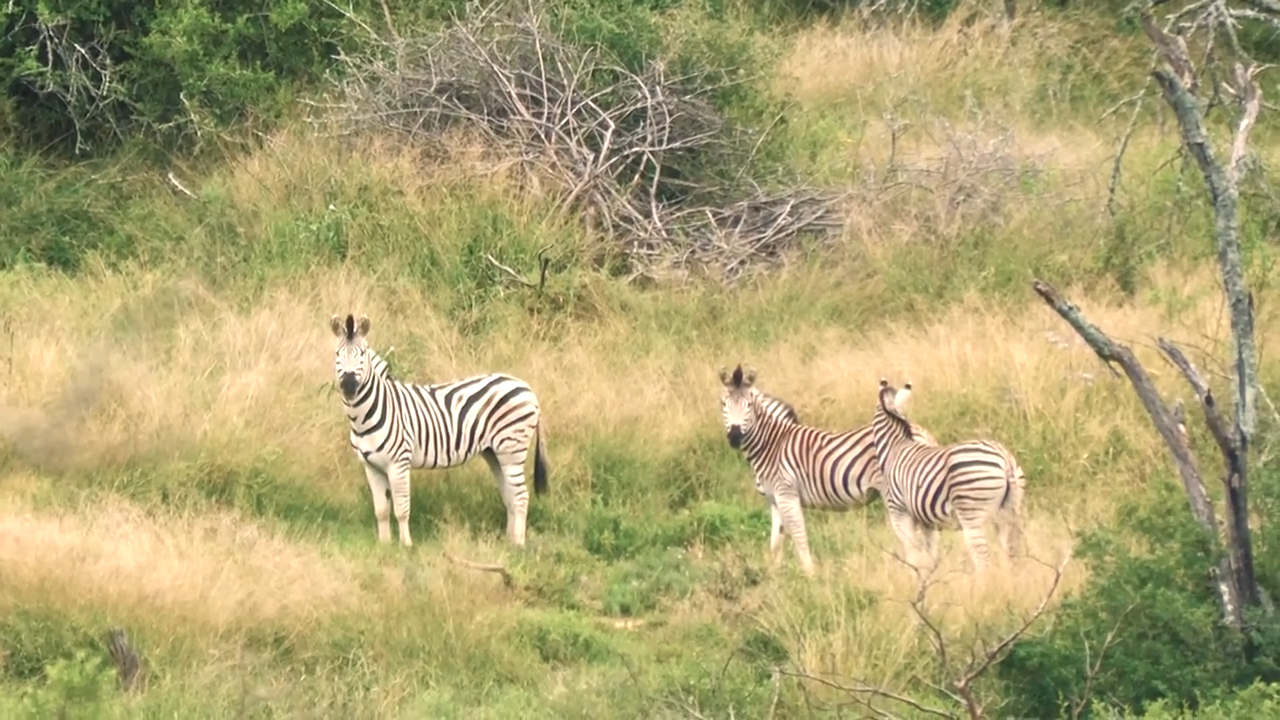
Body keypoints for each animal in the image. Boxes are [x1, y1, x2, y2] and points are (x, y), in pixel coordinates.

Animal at [330, 313, 549, 548]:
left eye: (362, 354)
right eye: (337, 354)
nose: (349, 386)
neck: (368, 412)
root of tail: (527, 388)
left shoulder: (398, 463)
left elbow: (401, 509)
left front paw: (406, 545)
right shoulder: (371, 466)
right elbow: (381, 510)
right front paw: (385, 545)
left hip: (512, 447)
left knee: (521, 496)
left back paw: (518, 544)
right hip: (494, 453)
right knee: (510, 495)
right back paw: (508, 541)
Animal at [719, 364, 939, 576]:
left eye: (749, 404)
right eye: (723, 404)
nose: (735, 437)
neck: (772, 444)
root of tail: (919, 432)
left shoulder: (787, 494)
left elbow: (799, 537)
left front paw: (810, 576)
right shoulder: (774, 500)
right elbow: (776, 543)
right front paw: (775, 577)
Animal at [869, 377, 1026, 574]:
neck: (895, 447)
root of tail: (1005, 459)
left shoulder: (899, 513)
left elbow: (913, 554)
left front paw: (915, 576)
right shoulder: (927, 523)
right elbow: (929, 554)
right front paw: (928, 576)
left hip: (971, 513)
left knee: (982, 559)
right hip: (1009, 511)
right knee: (1008, 554)